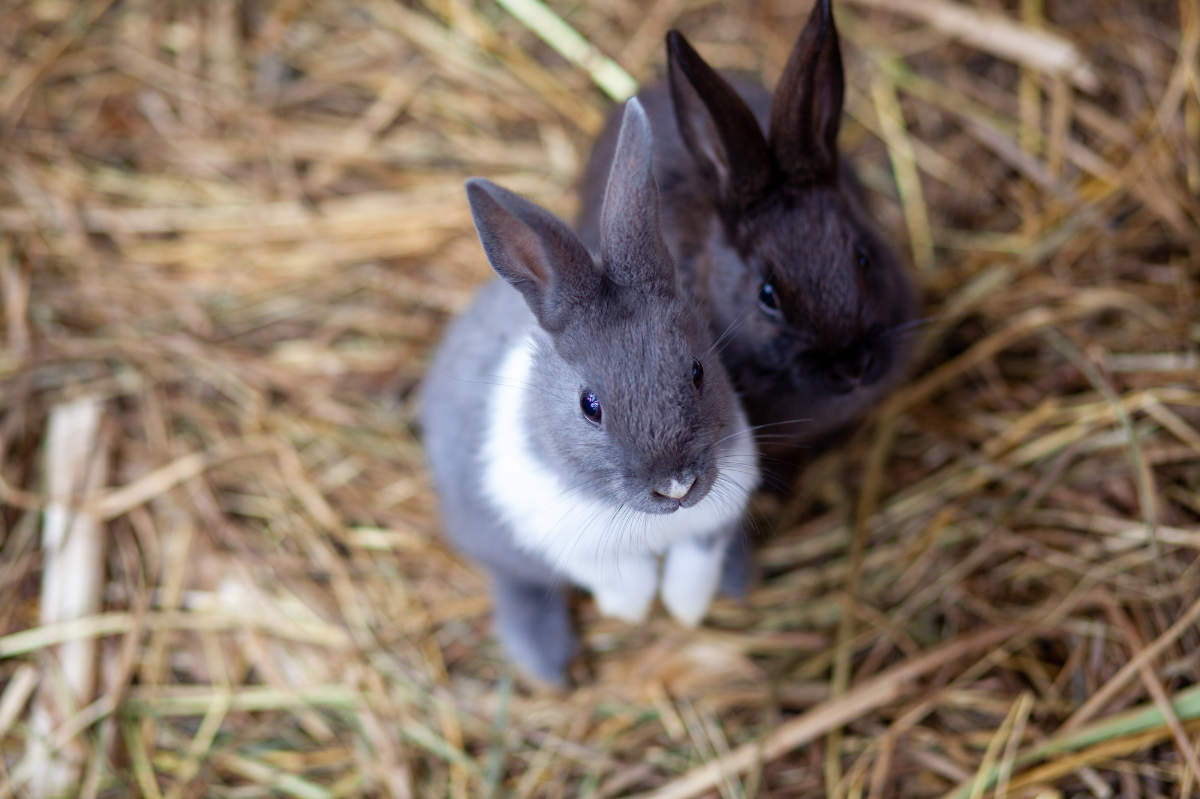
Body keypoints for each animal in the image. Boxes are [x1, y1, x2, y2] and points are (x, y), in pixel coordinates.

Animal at [422, 97, 758, 686]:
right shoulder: (562, 539)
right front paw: (634, 609)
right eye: (590, 405)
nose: (676, 485)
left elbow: (695, 562)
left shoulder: (719, 508)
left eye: (697, 371)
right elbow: (620, 578)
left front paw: (685, 608)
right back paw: (551, 663)